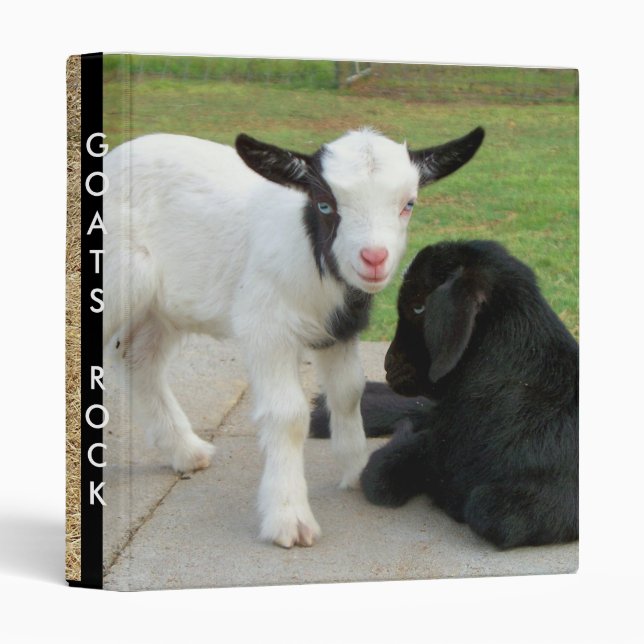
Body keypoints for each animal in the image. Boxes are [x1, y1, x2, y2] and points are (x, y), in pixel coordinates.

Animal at [102, 128, 484, 548]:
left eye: (408, 204)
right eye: (324, 204)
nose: (374, 258)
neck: (311, 250)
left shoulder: (339, 328)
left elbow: (348, 393)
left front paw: (356, 470)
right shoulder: (265, 327)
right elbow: (287, 415)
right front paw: (289, 517)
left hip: (164, 305)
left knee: (137, 357)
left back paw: (186, 451)